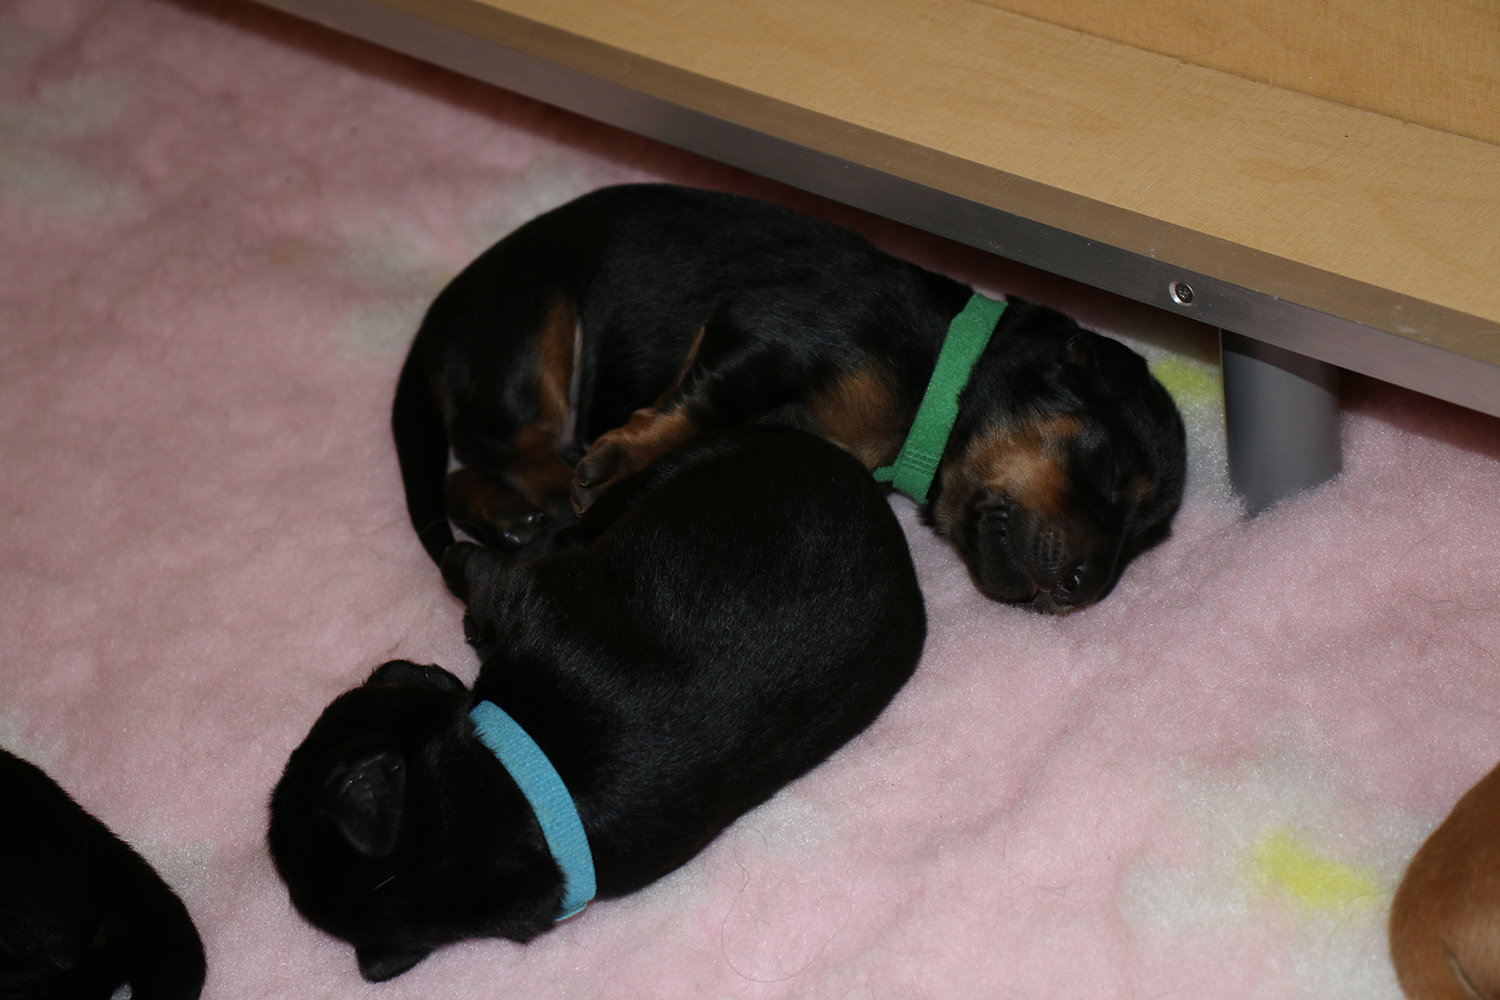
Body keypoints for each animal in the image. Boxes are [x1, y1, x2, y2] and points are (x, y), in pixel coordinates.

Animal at [393, 183, 1186, 614]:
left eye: (1146, 540)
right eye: (1112, 470)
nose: (1087, 587)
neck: (933, 374)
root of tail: (431, 324)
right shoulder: (767, 330)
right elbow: (702, 403)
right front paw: (623, 462)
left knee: (469, 466)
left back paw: (517, 519)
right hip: (534, 318)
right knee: (508, 437)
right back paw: (564, 496)